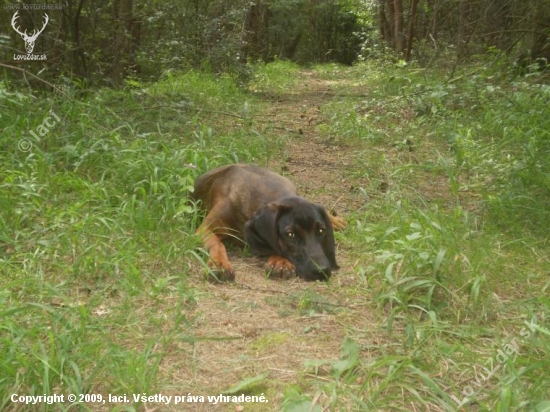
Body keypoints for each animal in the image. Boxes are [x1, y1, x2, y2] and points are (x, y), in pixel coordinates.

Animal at [193, 163, 344, 280]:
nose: (322, 271)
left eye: (321, 231)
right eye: (290, 235)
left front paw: (279, 261)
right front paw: (220, 264)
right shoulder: (205, 229)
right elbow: (217, 244)